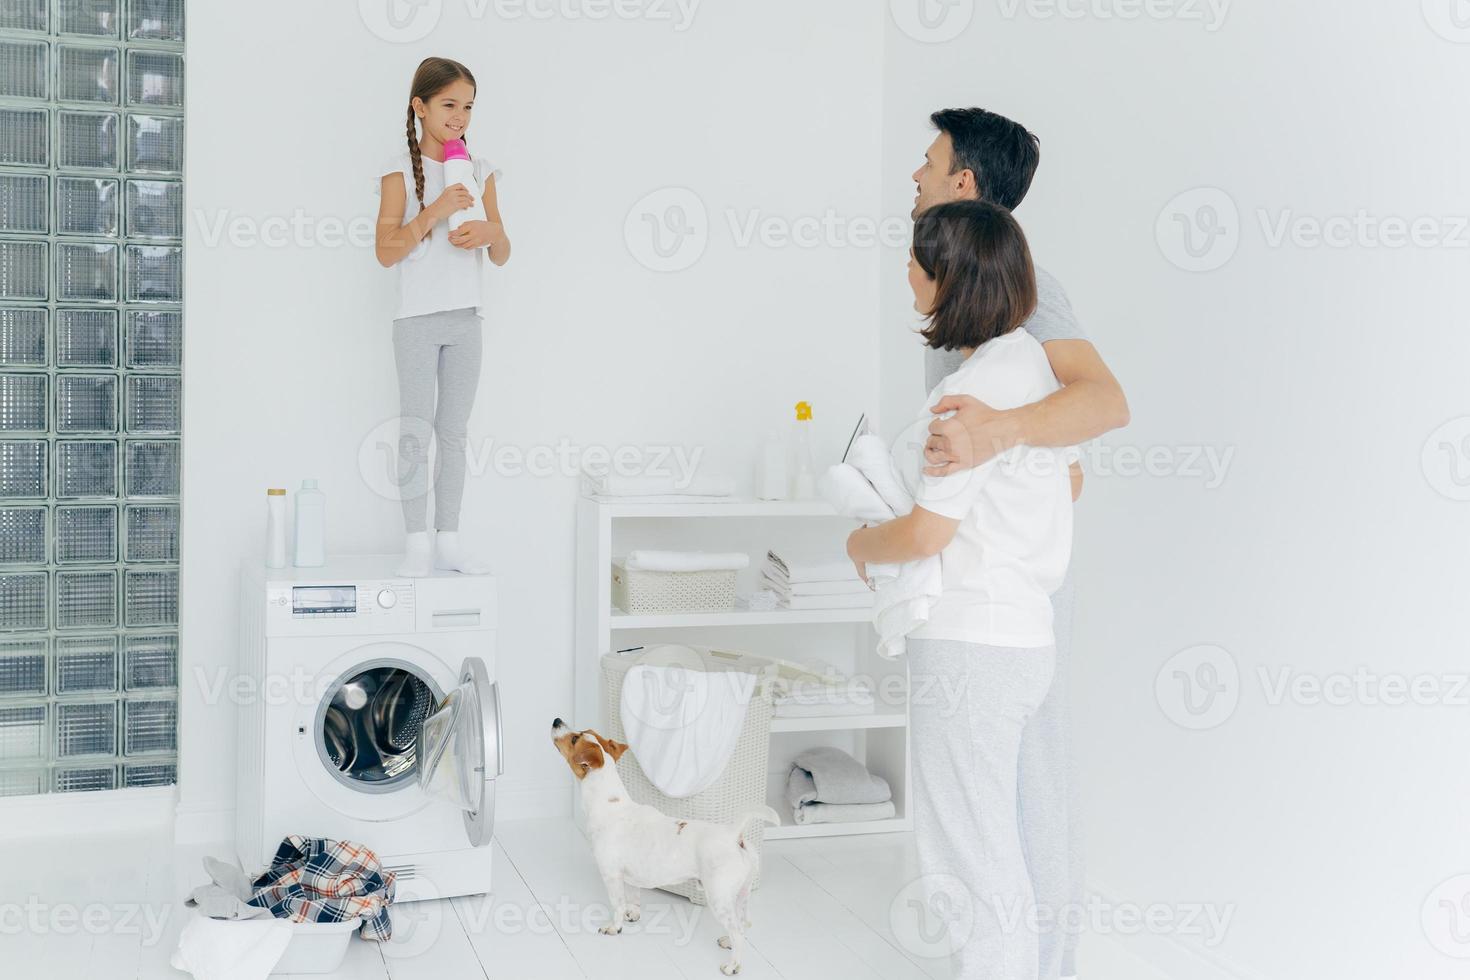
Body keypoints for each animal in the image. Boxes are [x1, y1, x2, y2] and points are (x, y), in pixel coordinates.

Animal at [552, 717, 782, 975]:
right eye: (582, 732)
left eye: (574, 738)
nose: (556, 720)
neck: (609, 803)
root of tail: (734, 834)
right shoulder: (630, 876)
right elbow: (634, 898)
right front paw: (633, 914)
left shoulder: (611, 876)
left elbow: (618, 904)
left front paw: (615, 927)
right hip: (741, 894)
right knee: (744, 923)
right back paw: (727, 941)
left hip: (719, 896)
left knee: (738, 931)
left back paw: (733, 964)